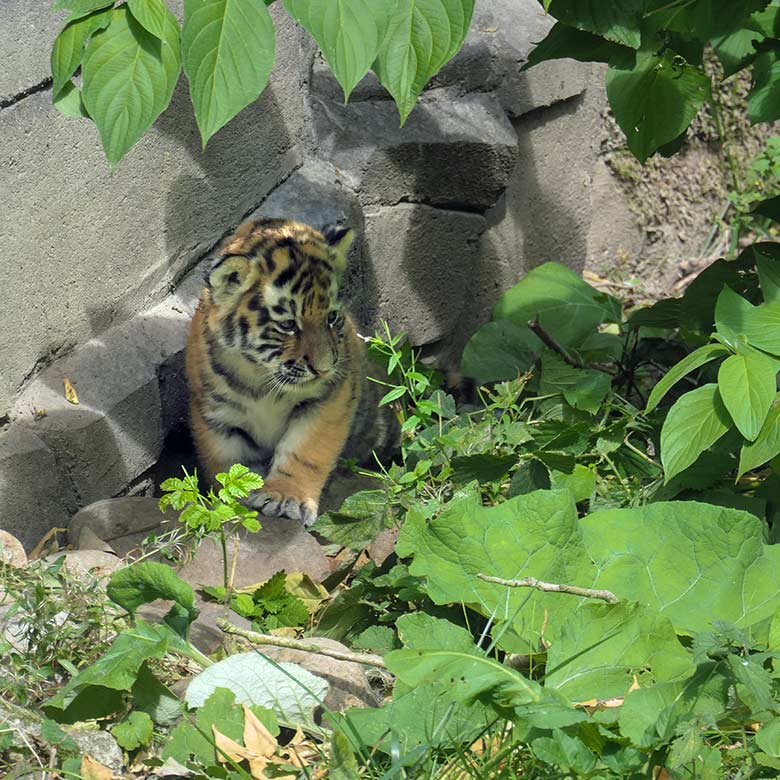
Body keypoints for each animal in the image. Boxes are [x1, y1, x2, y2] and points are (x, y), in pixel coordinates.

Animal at [185, 217, 398, 526]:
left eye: (332, 317)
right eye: (287, 325)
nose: (324, 368)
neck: (261, 377)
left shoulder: (330, 399)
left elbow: (305, 451)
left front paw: (287, 497)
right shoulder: (215, 416)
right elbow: (227, 463)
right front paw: (234, 500)